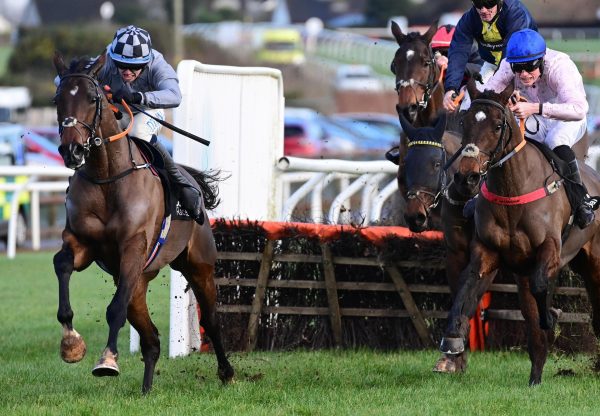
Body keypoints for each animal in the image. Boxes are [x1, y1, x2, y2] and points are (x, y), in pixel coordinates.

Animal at [52, 52, 234, 394]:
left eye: (93, 98)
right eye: (58, 99)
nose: (72, 150)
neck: (107, 177)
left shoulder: (133, 248)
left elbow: (114, 310)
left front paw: (108, 360)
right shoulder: (81, 243)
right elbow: (62, 265)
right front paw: (71, 343)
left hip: (197, 265)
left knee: (212, 320)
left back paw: (227, 371)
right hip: (139, 281)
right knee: (151, 338)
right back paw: (147, 388)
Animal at [440, 79, 600, 386]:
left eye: (497, 125)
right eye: (465, 121)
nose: (467, 177)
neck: (513, 189)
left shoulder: (550, 248)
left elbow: (541, 287)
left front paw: (551, 316)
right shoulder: (487, 252)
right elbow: (465, 285)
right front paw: (451, 340)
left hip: (595, 261)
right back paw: (535, 376)